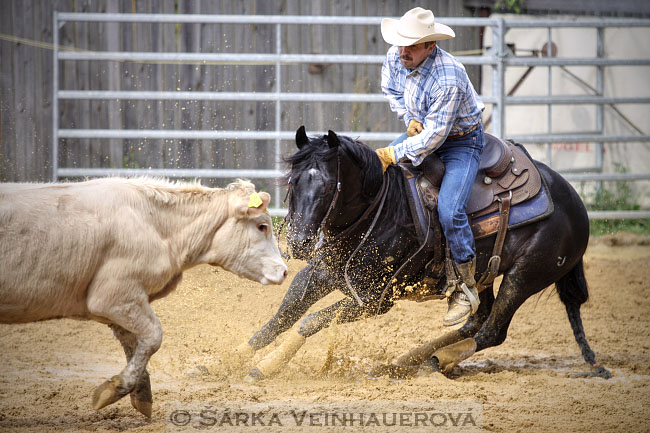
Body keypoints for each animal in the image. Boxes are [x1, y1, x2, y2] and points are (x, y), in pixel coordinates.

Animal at [0, 176, 286, 416]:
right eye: (262, 226)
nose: (284, 271)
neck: (154, 224)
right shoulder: (115, 297)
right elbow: (153, 337)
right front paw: (114, 390)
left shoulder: (121, 306)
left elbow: (134, 344)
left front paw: (141, 394)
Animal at [237, 125, 608, 382]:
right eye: (293, 180)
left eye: (330, 185)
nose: (299, 241)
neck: (380, 210)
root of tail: (575, 201)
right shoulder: (319, 274)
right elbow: (283, 315)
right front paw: (232, 356)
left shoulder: (373, 300)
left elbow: (310, 321)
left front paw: (264, 368)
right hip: (484, 273)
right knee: (476, 319)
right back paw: (405, 361)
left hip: (527, 274)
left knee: (493, 330)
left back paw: (434, 361)